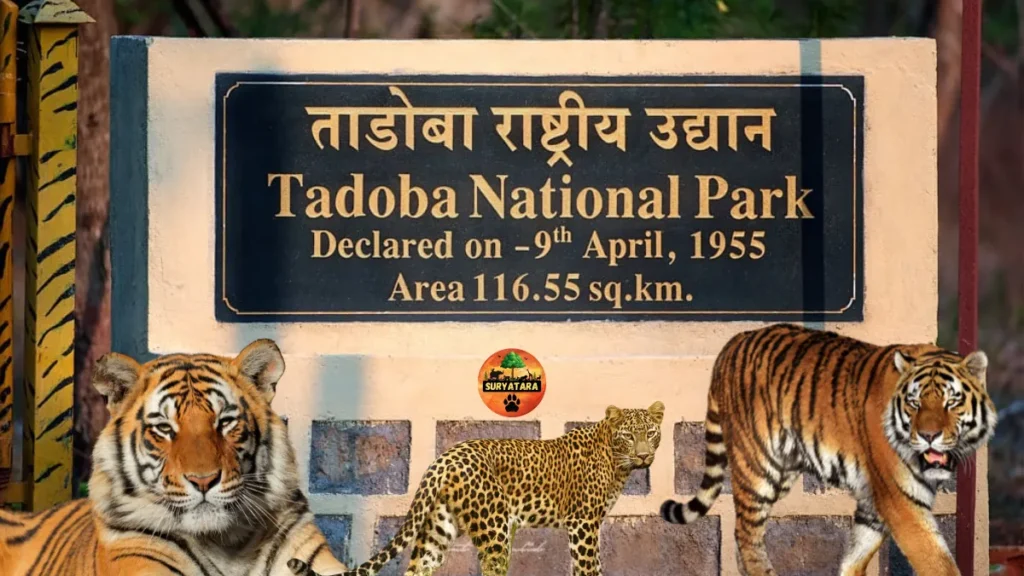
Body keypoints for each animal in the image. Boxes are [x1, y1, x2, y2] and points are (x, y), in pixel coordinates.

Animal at [659, 323, 997, 576]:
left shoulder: (873, 503)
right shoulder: (901, 501)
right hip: (757, 468)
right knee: (746, 535)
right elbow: (938, 563)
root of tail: (732, 343)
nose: (928, 436)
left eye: (951, 402)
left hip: (782, 472)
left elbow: (854, 556)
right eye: (914, 403)